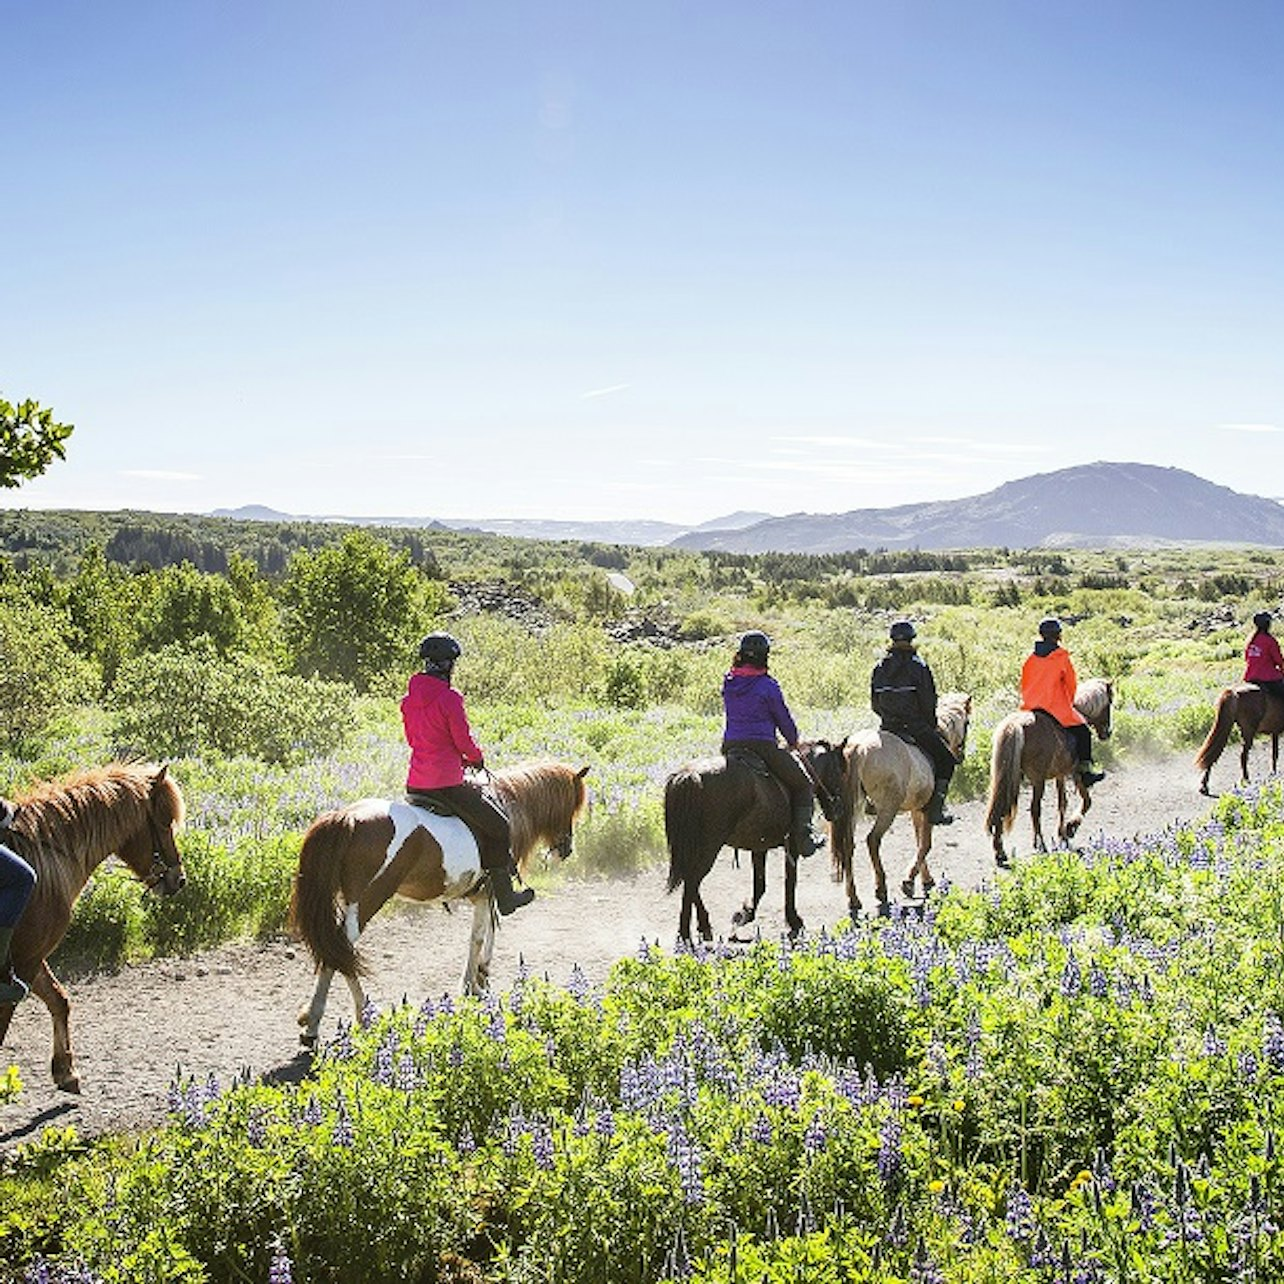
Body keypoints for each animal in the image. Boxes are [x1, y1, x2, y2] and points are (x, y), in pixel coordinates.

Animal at [0, 762, 186, 1092]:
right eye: (164, 822)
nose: (180, 879)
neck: (48, 863)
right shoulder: (23, 962)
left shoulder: (31, 960)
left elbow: (59, 1000)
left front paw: (66, 1071)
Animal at [291, 760, 589, 1047]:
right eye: (571, 806)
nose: (567, 849)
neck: (509, 806)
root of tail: (346, 818)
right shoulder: (487, 892)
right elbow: (478, 938)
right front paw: (472, 984)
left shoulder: (484, 894)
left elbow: (489, 931)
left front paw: (482, 974)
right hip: (368, 899)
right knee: (341, 949)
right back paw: (345, 1017)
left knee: (335, 950)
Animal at [664, 741, 849, 945]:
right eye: (839, 770)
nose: (838, 809)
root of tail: (690, 776)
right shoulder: (791, 846)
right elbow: (789, 882)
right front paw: (794, 921)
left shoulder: (759, 847)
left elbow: (760, 884)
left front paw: (745, 914)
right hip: (709, 846)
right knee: (692, 880)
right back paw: (685, 935)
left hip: (694, 847)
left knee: (690, 880)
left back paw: (703, 927)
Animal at [830, 694, 972, 918]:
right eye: (967, 723)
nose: (960, 756)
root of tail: (858, 748)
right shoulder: (926, 810)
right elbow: (925, 844)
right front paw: (909, 881)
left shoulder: (916, 810)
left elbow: (919, 841)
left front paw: (925, 879)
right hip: (888, 809)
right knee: (873, 840)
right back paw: (881, 889)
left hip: (852, 810)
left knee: (848, 846)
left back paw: (854, 899)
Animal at [984, 678, 1114, 864]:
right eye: (1109, 703)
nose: (1107, 733)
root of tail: (1016, 725)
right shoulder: (1075, 773)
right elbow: (1087, 801)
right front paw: (1070, 827)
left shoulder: (1060, 775)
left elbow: (1062, 803)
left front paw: (1063, 834)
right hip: (1038, 780)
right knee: (1034, 809)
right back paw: (1040, 844)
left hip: (1009, 778)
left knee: (1001, 807)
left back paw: (1000, 851)